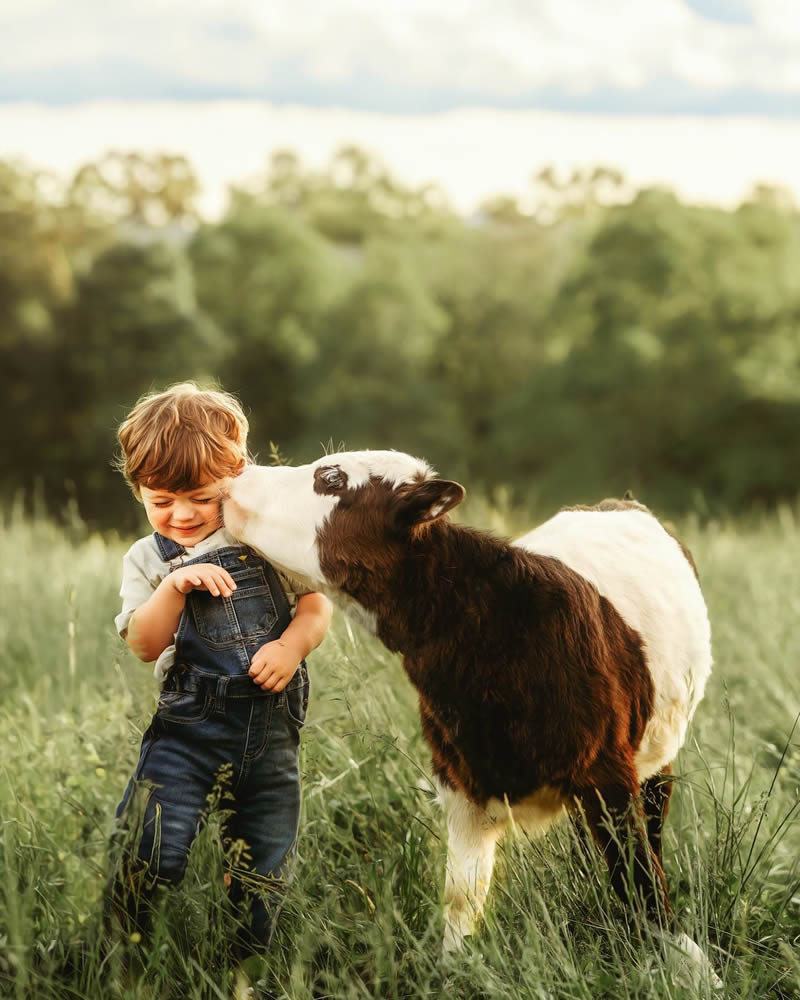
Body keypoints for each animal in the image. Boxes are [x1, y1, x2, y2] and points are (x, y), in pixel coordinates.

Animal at [223, 454, 720, 984]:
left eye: (331, 478)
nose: (236, 477)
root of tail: (617, 502)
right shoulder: (461, 778)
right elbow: (462, 895)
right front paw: (453, 971)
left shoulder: (608, 771)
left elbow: (638, 875)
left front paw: (694, 968)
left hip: (656, 756)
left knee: (651, 830)